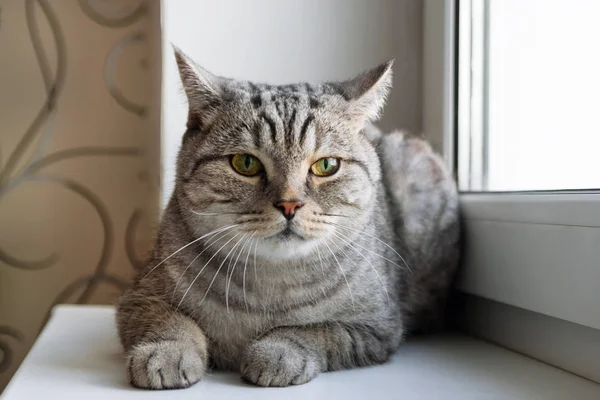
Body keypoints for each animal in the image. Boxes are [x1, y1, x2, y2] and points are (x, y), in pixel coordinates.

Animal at [116, 46, 460, 388]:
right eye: (245, 163)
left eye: (326, 165)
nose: (289, 205)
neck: (270, 285)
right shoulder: (138, 299)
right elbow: (170, 321)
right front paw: (166, 352)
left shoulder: (377, 327)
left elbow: (317, 331)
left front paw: (278, 350)